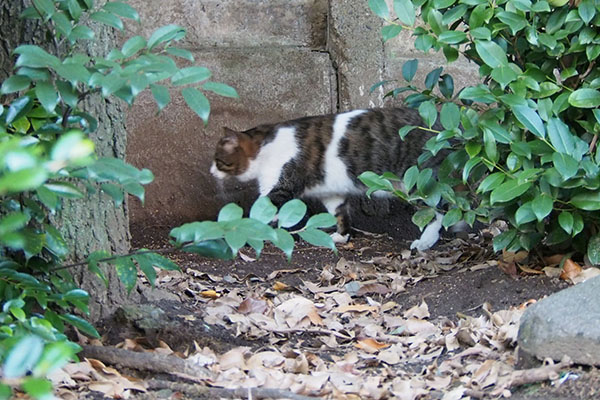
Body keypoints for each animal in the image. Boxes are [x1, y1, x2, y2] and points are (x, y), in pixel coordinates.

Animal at [211, 106, 450, 250]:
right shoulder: (331, 193)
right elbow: (340, 214)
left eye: (218, 160)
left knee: (437, 212)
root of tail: (440, 126)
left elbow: (260, 211)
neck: (264, 146)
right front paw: (342, 236)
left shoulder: (281, 185)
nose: (211, 171)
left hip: (418, 182)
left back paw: (426, 241)